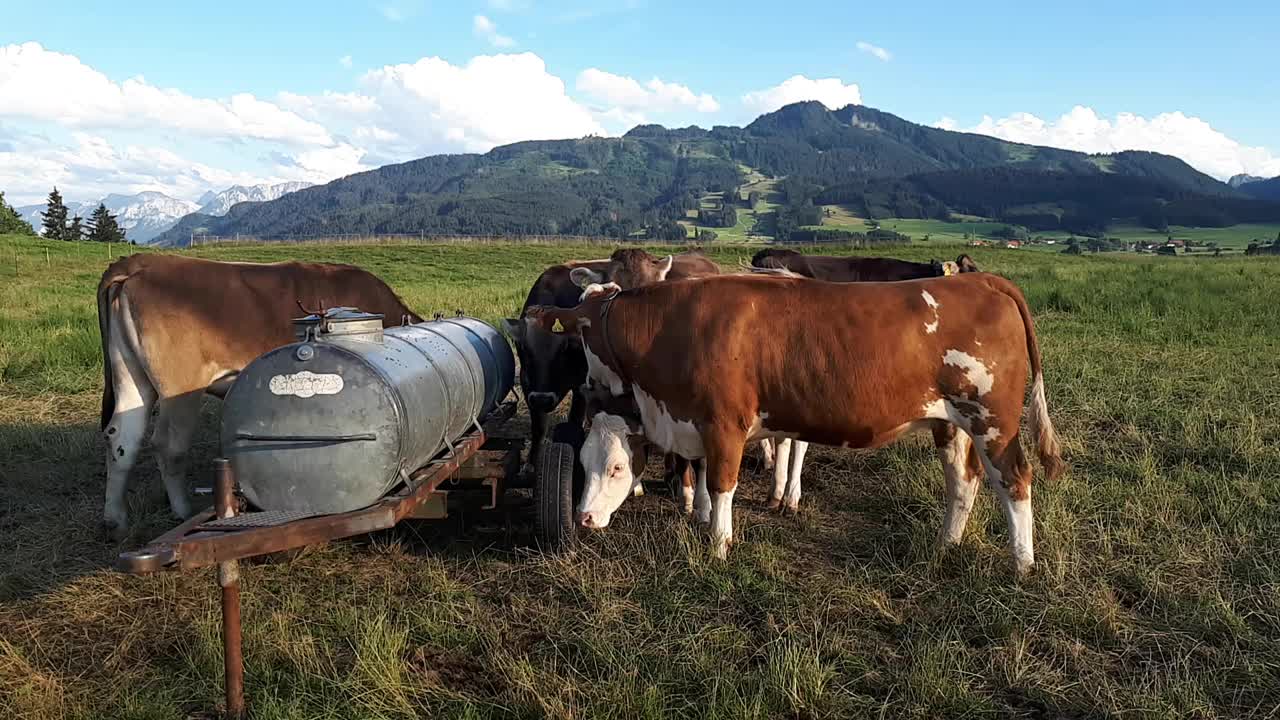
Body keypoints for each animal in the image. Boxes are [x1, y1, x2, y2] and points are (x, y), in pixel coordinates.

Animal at [101, 252, 419, 532]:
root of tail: (142, 262)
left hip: (130, 377)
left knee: (122, 439)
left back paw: (115, 520)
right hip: (180, 385)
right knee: (168, 445)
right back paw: (182, 511)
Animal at [524, 269, 1064, 571]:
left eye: (616, 468)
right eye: (584, 465)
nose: (583, 519)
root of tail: (979, 279)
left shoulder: (725, 423)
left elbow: (722, 483)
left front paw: (718, 545)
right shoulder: (697, 422)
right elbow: (703, 473)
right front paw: (702, 518)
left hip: (994, 420)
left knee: (1015, 480)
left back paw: (1021, 564)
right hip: (951, 422)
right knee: (963, 481)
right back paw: (945, 544)